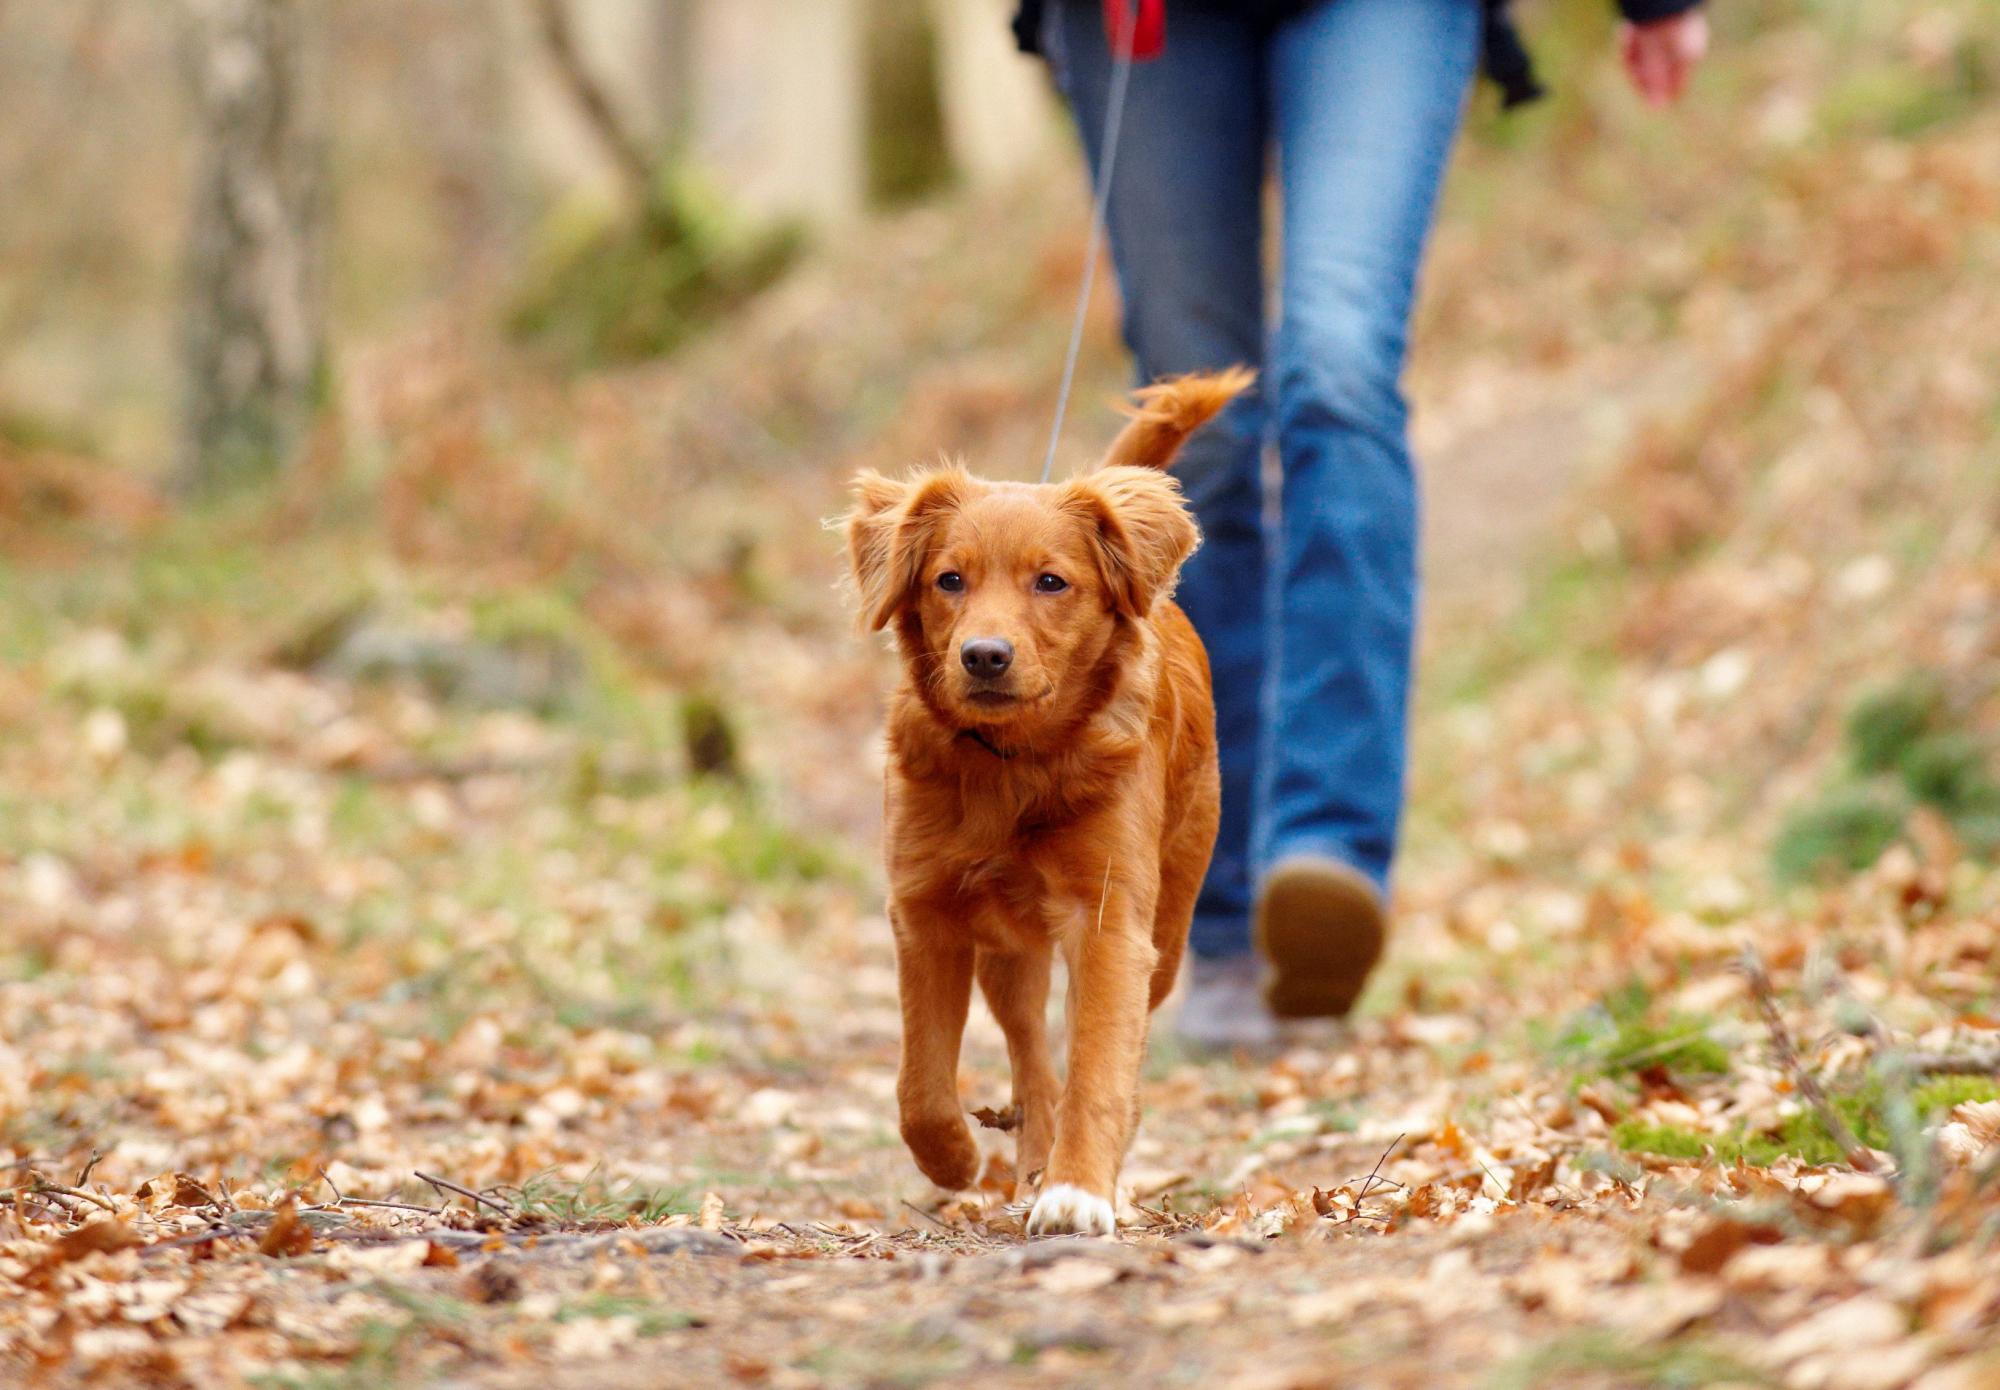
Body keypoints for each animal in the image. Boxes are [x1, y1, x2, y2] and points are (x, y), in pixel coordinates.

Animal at [844, 370, 1248, 1240]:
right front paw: (953, 1159)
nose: (984, 656)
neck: (1014, 765)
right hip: (1008, 949)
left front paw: (1079, 1191)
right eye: (949, 580)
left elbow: (1098, 1065)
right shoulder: (923, 911)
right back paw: (1027, 1150)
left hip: (1167, 924)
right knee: (1030, 1050)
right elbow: (920, 1080)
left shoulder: (1110, 925)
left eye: (1052, 582)